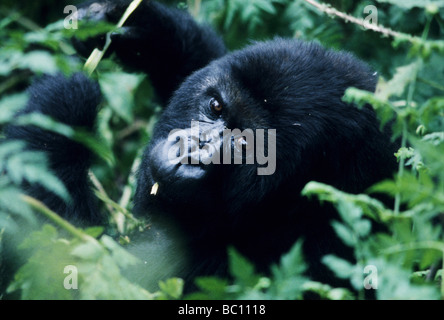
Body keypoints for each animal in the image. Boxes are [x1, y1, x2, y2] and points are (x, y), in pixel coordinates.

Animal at [5, 0, 398, 290]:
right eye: (215, 107)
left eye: (246, 144)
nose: (192, 147)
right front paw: (139, 24)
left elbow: (66, 257)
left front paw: (66, 103)